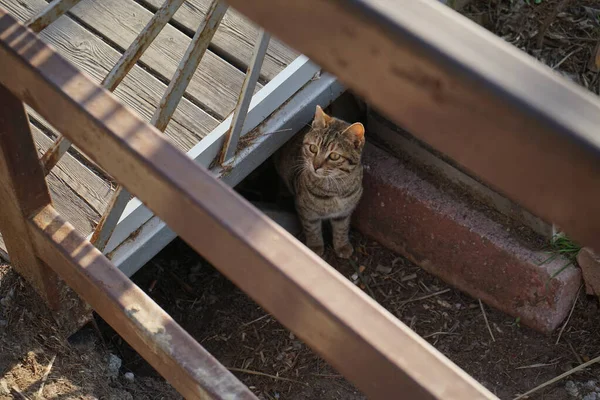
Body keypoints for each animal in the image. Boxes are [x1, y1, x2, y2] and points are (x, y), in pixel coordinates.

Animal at [274, 104, 366, 258]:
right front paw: (315, 247)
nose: (315, 166)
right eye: (313, 148)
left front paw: (342, 245)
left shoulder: (344, 212)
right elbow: (312, 229)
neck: (334, 187)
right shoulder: (306, 211)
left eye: (334, 156)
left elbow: (341, 229)